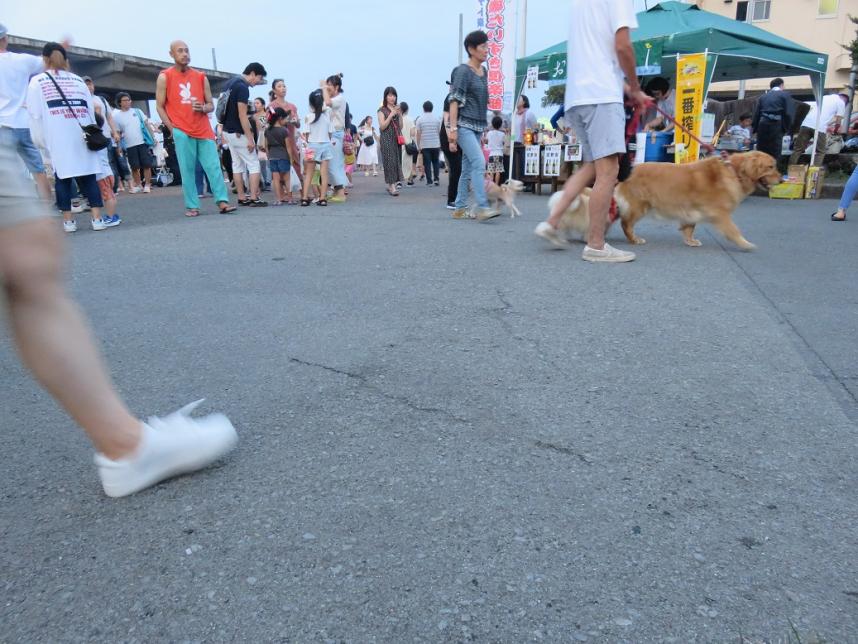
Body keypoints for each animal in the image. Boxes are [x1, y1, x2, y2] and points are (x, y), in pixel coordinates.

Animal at [612, 152, 780, 252]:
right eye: (770, 166)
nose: (782, 180)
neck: (734, 172)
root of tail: (629, 170)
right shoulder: (720, 213)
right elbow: (734, 230)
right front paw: (744, 243)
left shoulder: (691, 211)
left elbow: (689, 227)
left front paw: (690, 241)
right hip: (639, 206)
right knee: (626, 224)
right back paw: (634, 239)